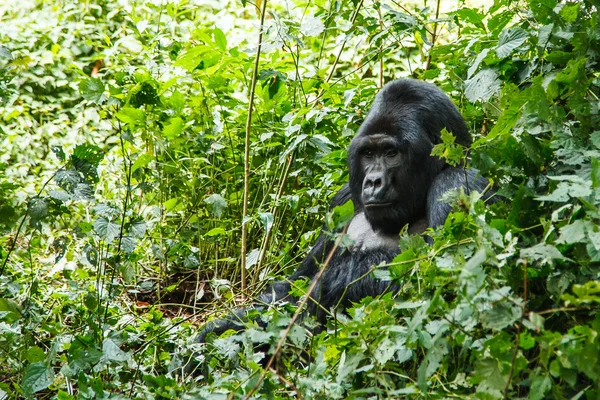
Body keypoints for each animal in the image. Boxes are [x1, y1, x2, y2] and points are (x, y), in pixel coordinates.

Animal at [197, 79, 492, 342]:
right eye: (369, 153)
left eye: (391, 153)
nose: (372, 181)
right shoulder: (343, 199)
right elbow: (291, 286)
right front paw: (218, 330)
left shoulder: (456, 183)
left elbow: (438, 287)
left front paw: (327, 284)